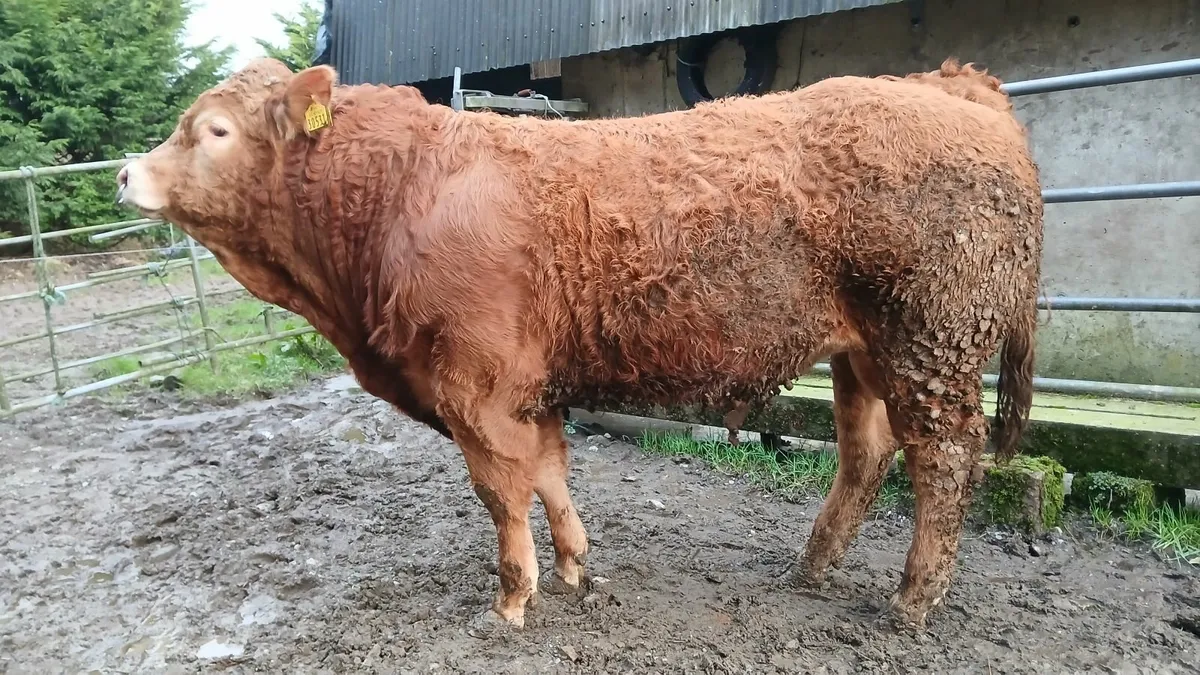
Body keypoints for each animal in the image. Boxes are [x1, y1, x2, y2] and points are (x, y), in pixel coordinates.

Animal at [115, 56, 1043, 632]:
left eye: (215, 131)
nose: (126, 172)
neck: (399, 189)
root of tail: (948, 85)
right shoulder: (529, 388)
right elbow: (550, 474)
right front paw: (573, 569)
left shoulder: (474, 386)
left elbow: (502, 492)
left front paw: (512, 600)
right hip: (863, 352)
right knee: (867, 453)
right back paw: (810, 569)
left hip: (932, 339)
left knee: (945, 460)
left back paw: (913, 600)